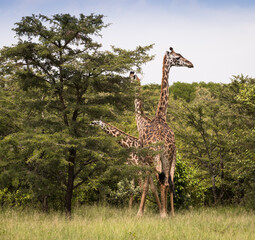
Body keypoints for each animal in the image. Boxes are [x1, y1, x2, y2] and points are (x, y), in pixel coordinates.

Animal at [137, 47, 193, 218]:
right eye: (178, 57)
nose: (191, 64)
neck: (161, 116)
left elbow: (150, 182)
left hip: (158, 157)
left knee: (161, 180)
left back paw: (162, 213)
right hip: (164, 156)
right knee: (164, 180)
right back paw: (164, 213)